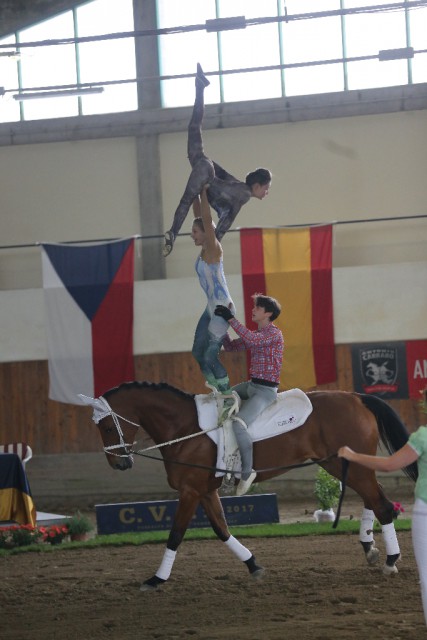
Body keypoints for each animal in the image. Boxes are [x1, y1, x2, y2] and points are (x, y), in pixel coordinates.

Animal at [81, 380, 418, 592]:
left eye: (107, 426)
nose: (119, 464)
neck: (184, 428)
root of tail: (356, 396)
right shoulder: (205, 490)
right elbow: (221, 529)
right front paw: (253, 566)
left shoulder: (190, 491)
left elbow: (175, 535)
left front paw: (156, 579)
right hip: (341, 463)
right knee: (373, 498)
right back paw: (370, 548)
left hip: (350, 466)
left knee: (382, 504)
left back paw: (390, 561)